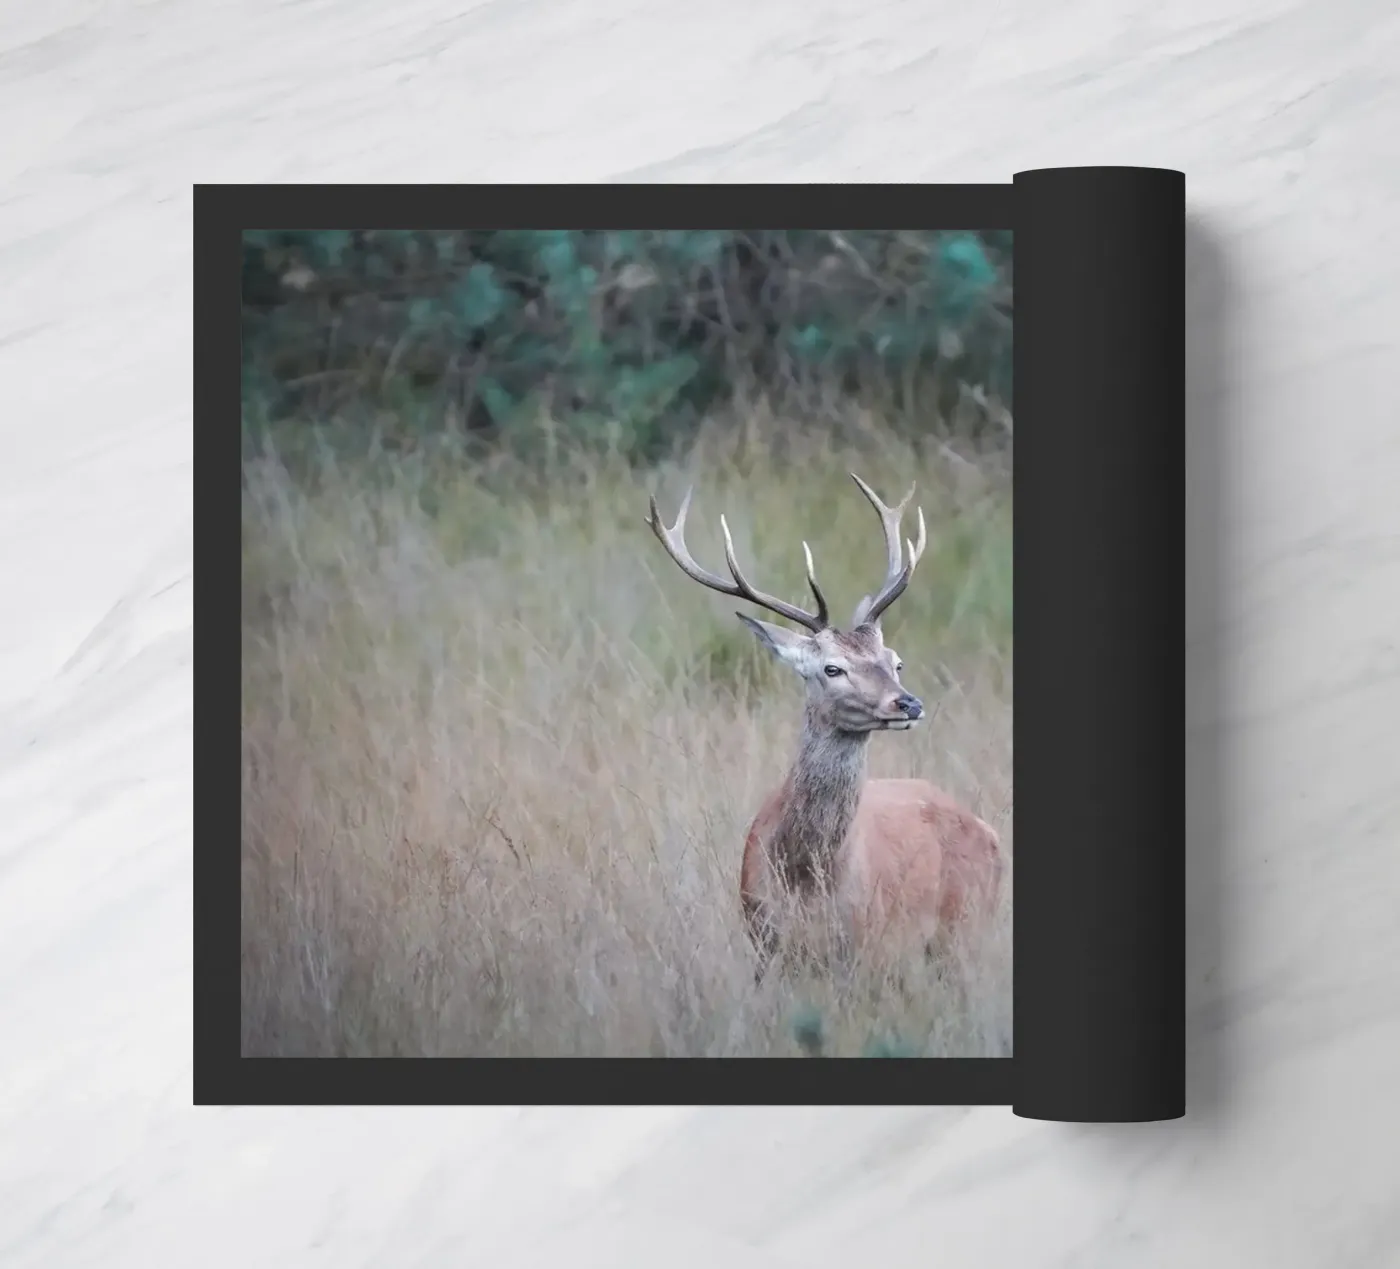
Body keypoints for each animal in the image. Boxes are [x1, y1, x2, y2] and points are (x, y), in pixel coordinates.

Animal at [646, 473, 1003, 975]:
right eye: (832, 669)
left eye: (895, 662)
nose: (908, 703)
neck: (807, 883)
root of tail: (989, 832)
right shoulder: (765, 943)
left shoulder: (869, 947)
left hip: (967, 933)